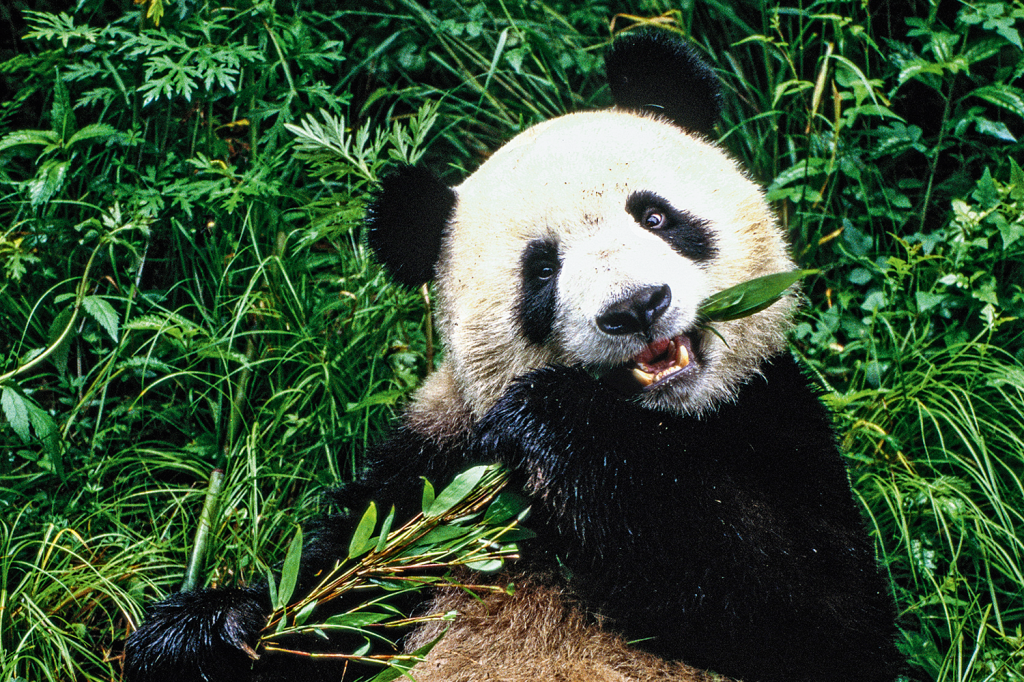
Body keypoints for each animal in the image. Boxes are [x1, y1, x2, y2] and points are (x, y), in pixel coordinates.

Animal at [124, 31, 903, 682]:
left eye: (655, 215)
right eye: (542, 271)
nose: (635, 307)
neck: (664, 424)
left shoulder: (773, 421)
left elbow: (821, 616)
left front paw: (558, 425)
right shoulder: (430, 470)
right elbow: (335, 610)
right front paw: (206, 633)